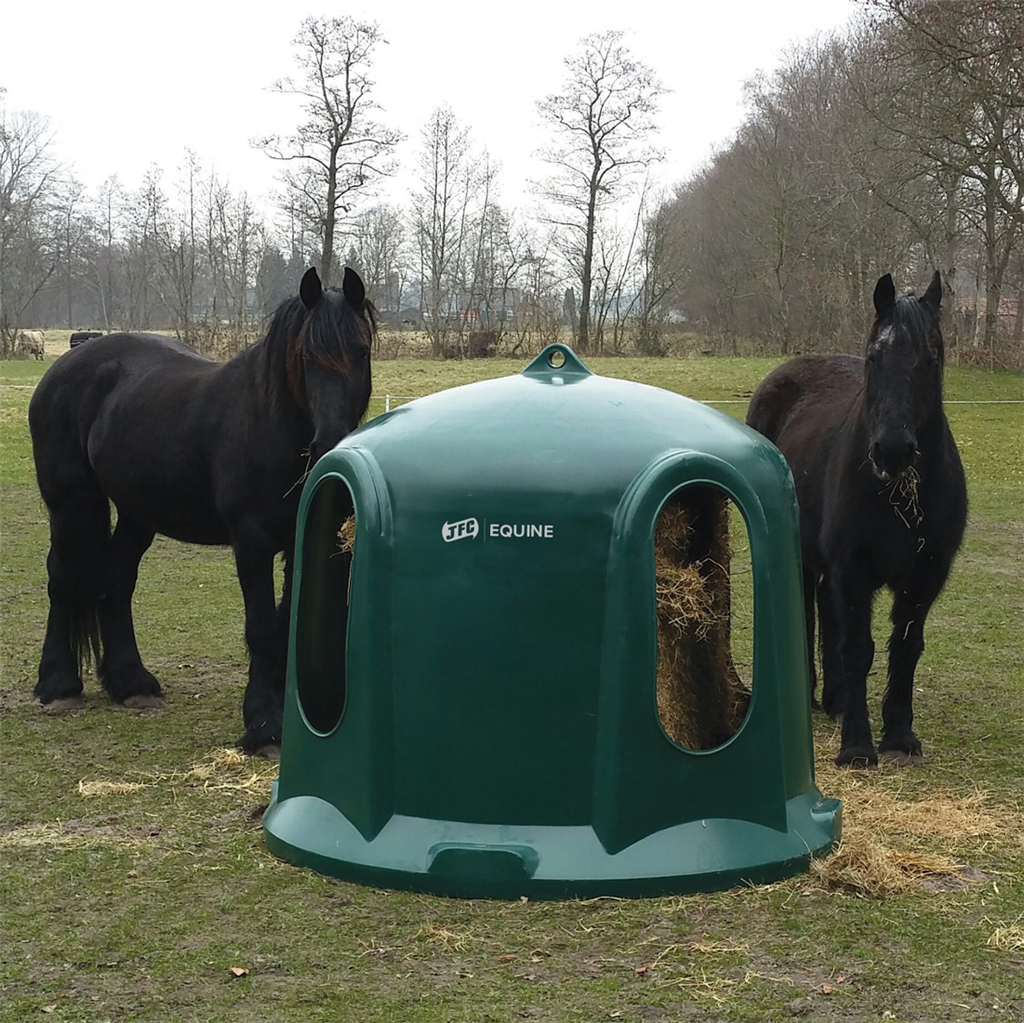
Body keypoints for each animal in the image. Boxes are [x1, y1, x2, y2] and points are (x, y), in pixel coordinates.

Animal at [29, 266, 374, 755]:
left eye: (360, 351)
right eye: (305, 355)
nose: (329, 442)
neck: (270, 425)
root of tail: (64, 366)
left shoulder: (296, 542)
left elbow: (286, 624)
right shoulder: (251, 543)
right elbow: (262, 628)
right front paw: (264, 725)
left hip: (137, 513)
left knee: (117, 581)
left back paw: (132, 683)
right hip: (70, 503)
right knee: (62, 578)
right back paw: (58, 685)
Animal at [745, 272, 967, 767]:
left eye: (932, 358)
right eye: (874, 357)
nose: (892, 450)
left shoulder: (927, 576)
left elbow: (905, 648)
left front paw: (899, 736)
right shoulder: (853, 570)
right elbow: (858, 649)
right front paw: (858, 746)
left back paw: (837, 700)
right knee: (811, 613)